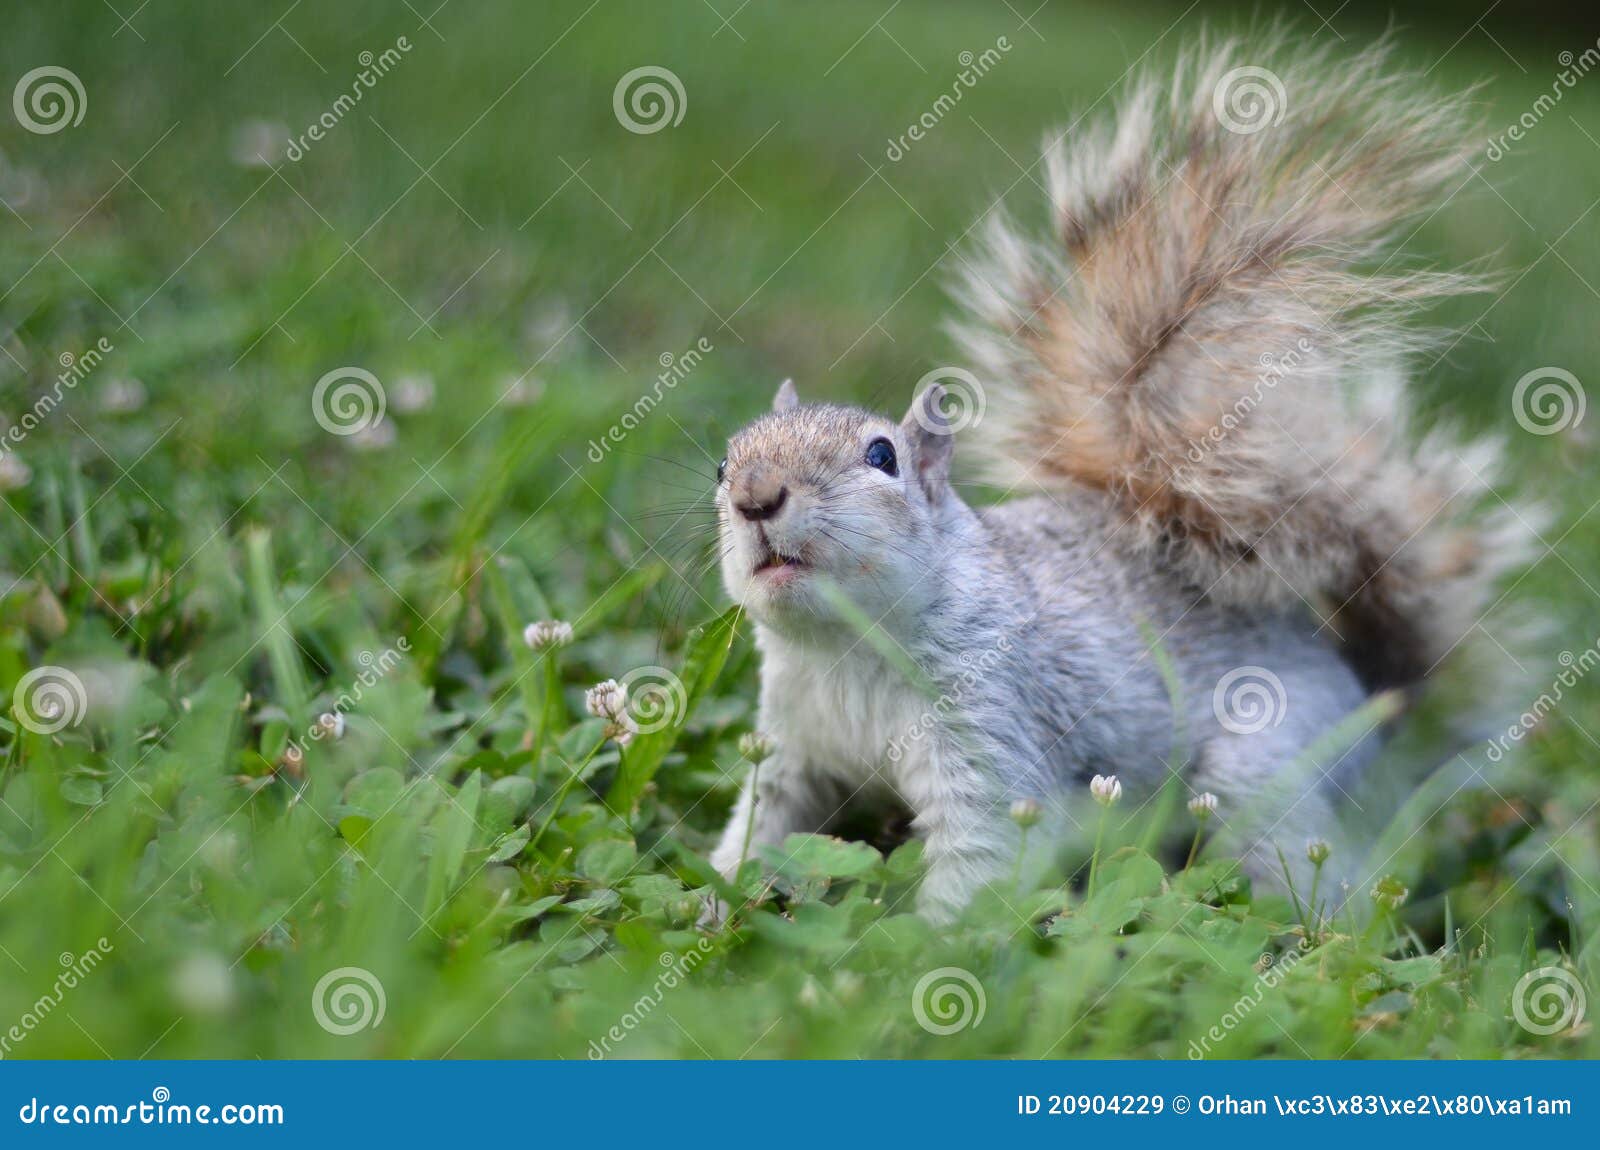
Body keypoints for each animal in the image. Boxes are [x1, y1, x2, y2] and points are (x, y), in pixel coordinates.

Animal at [705, 40, 1536, 921]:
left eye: (882, 457)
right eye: (722, 465)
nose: (755, 498)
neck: (845, 649)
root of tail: (1373, 701)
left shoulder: (994, 725)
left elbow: (981, 859)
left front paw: (923, 946)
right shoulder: (787, 749)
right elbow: (758, 832)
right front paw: (711, 909)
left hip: (1264, 773)